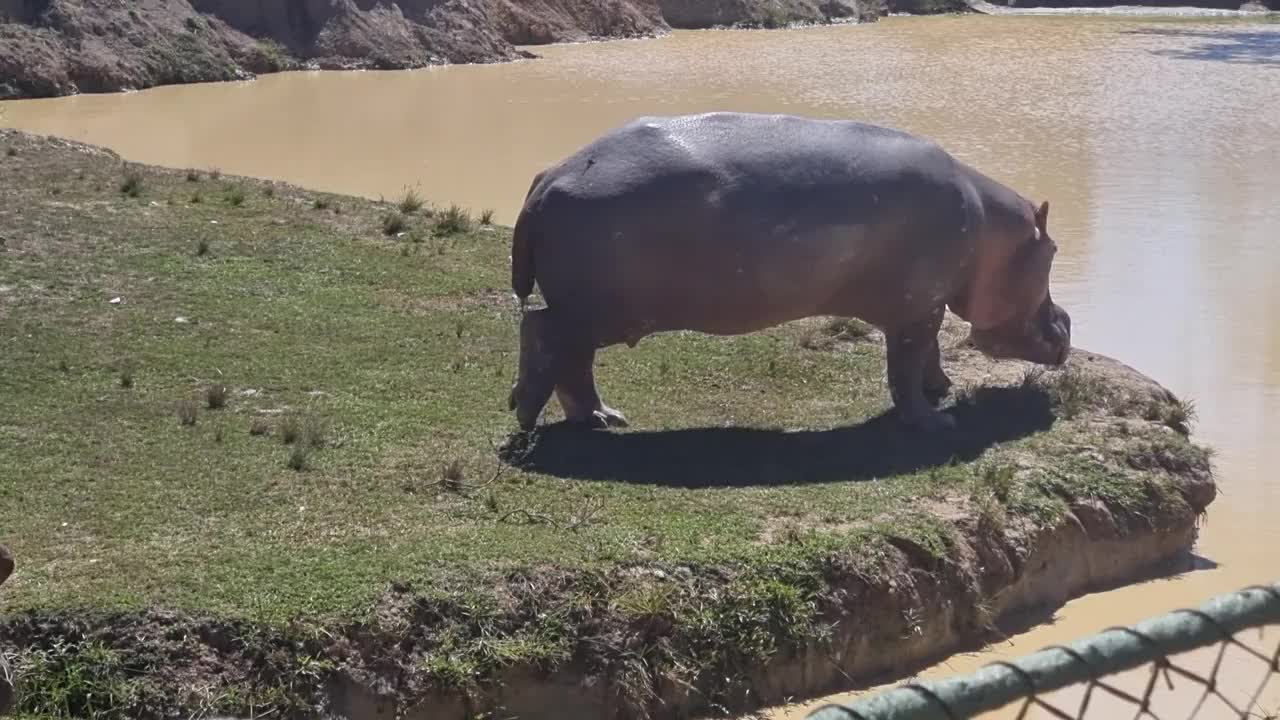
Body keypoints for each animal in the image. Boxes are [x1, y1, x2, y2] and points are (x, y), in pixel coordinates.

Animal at [504, 109, 1075, 427]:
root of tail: (550, 176)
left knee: (565, 355)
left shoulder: (924, 304)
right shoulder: (918, 308)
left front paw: (943, 390)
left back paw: (602, 420)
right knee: (545, 335)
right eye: (1053, 251)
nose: (1066, 321)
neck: (994, 230)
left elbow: (928, 355)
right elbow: (906, 366)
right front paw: (937, 423)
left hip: (594, 312)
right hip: (595, 310)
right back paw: (538, 414)